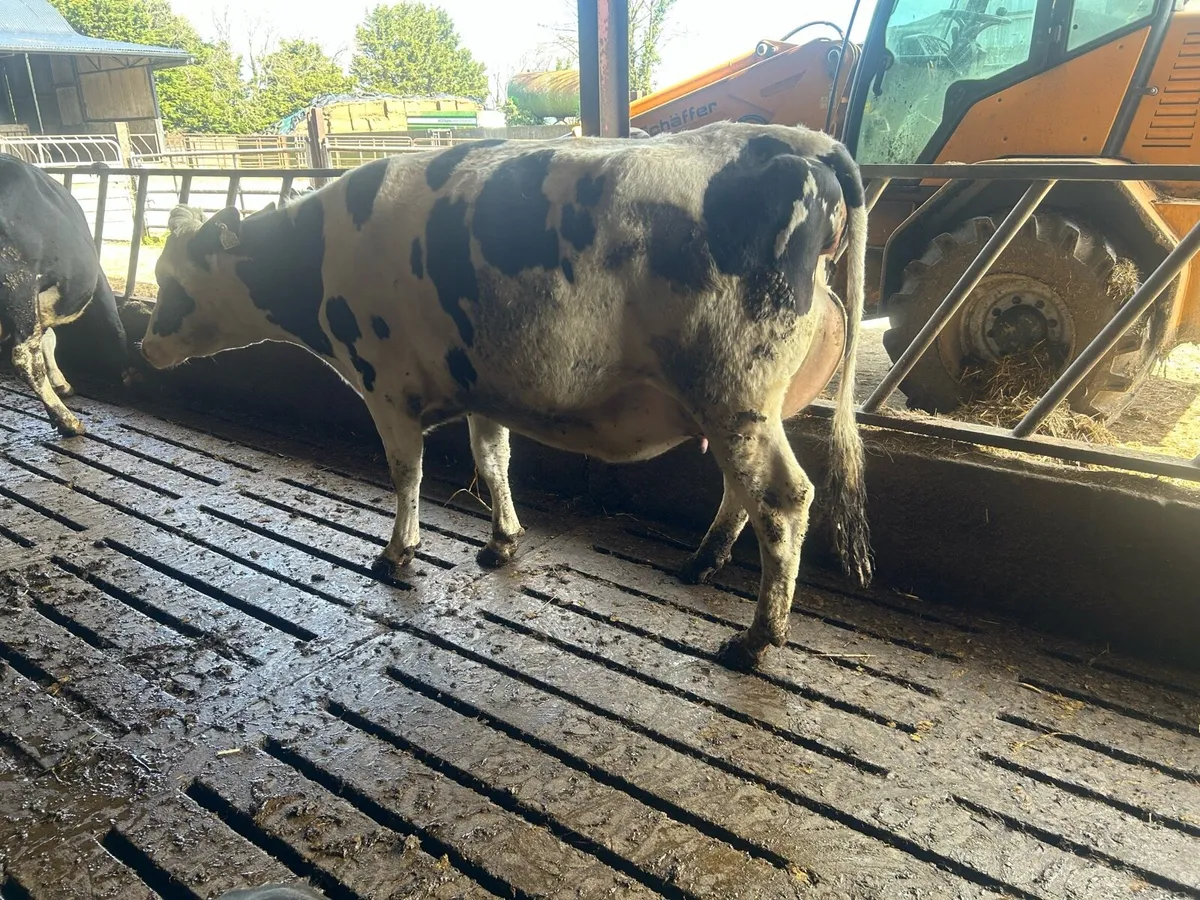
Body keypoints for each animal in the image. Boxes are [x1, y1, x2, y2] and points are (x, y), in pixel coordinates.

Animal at [0, 153, 132, 436]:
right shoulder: (99, 280)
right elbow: (115, 324)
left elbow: (48, 338)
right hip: (19, 281)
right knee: (25, 357)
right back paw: (68, 421)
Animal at [138, 121, 871, 671]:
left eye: (171, 282)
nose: (144, 346)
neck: (320, 252)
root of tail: (799, 142)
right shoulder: (481, 388)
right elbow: (493, 462)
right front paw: (502, 542)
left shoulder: (386, 386)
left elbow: (406, 474)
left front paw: (397, 554)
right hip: (735, 406)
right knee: (742, 491)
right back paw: (701, 561)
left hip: (733, 390)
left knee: (782, 499)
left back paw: (755, 641)